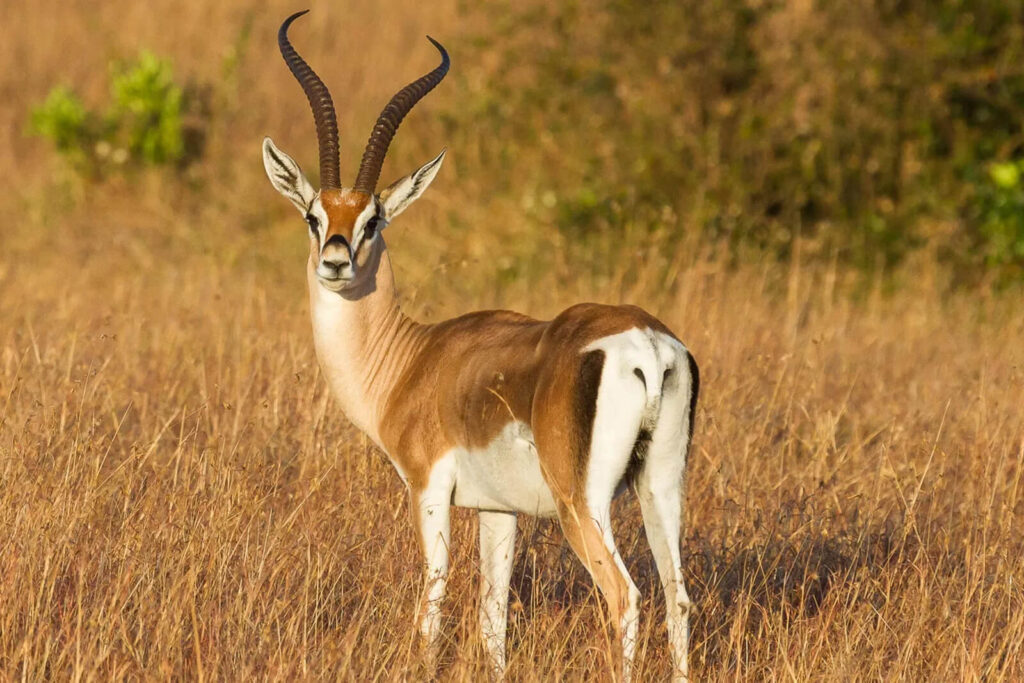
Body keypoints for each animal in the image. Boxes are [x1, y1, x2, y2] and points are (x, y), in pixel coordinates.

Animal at [262, 11, 699, 681]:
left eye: (373, 219)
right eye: (314, 215)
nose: (336, 261)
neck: (411, 361)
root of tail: (647, 342)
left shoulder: (428, 490)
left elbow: (434, 600)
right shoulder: (499, 511)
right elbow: (493, 616)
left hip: (582, 504)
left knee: (625, 596)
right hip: (661, 485)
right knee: (677, 596)